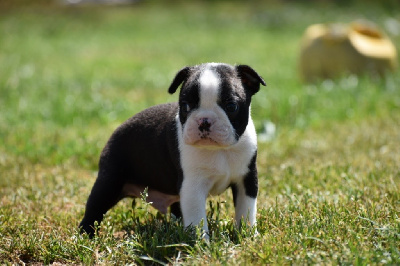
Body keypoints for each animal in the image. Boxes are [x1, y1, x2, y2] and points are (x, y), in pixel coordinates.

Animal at [78, 63, 266, 238]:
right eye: (186, 106)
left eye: (231, 106)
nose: (204, 120)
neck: (218, 150)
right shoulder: (192, 187)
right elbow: (197, 219)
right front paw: (201, 244)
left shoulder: (246, 179)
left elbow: (246, 210)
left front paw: (248, 236)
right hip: (109, 182)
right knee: (94, 209)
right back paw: (86, 236)